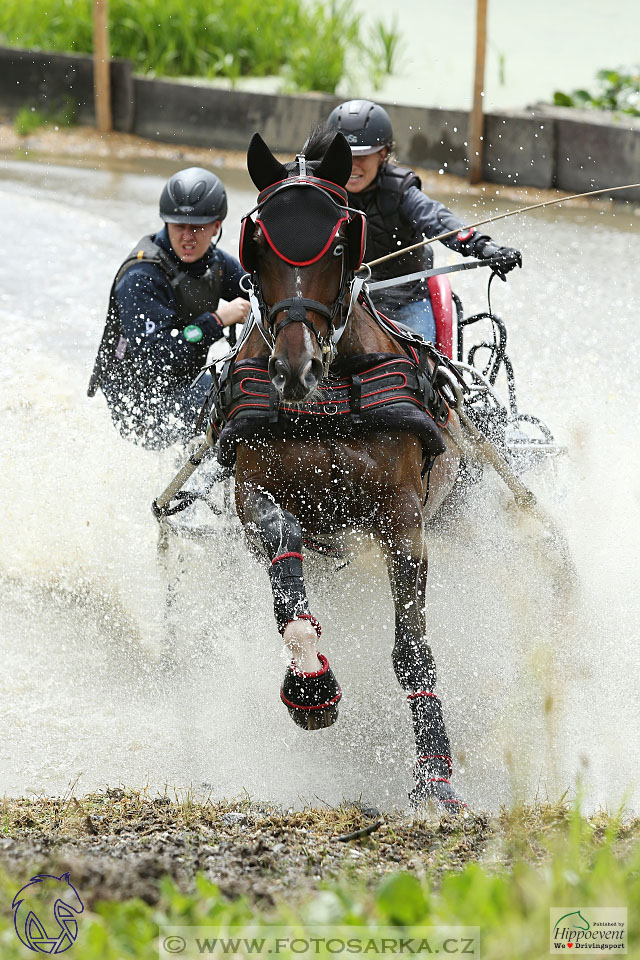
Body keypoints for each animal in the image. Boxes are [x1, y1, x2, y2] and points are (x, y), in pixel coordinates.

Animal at [212, 131, 468, 808]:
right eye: (257, 242)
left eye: (336, 242)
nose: (293, 368)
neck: (328, 400)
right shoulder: (255, 494)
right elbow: (286, 578)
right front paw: (309, 683)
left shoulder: (404, 520)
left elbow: (412, 650)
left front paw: (434, 779)